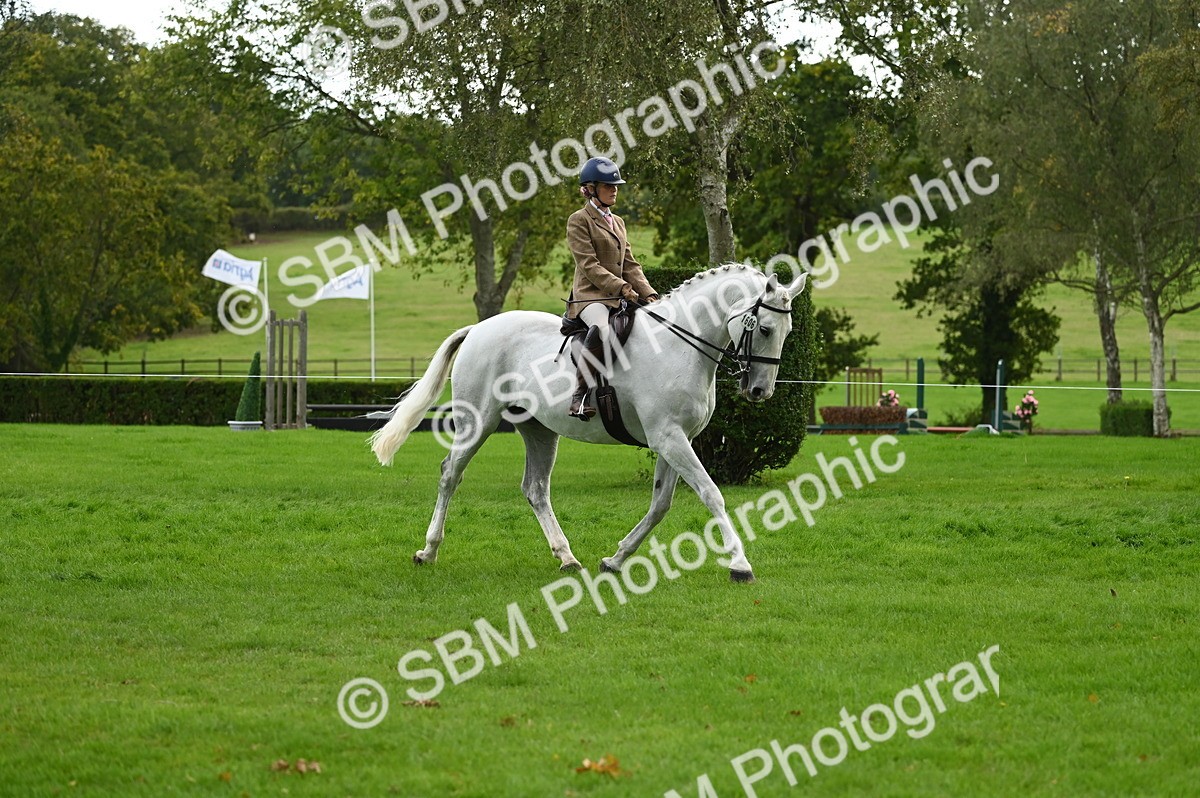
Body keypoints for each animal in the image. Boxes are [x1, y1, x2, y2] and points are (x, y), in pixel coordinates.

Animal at [369, 265, 807, 582]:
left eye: (789, 331)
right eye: (764, 328)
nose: (759, 391)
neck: (680, 346)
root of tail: (479, 328)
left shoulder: (674, 439)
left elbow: (661, 504)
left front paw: (615, 559)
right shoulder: (669, 438)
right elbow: (712, 494)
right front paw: (739, 564)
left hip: (539, 431)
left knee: (535, 489)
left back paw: (567, 557)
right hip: (477, 422)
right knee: (450, 474)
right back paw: (428, 550)